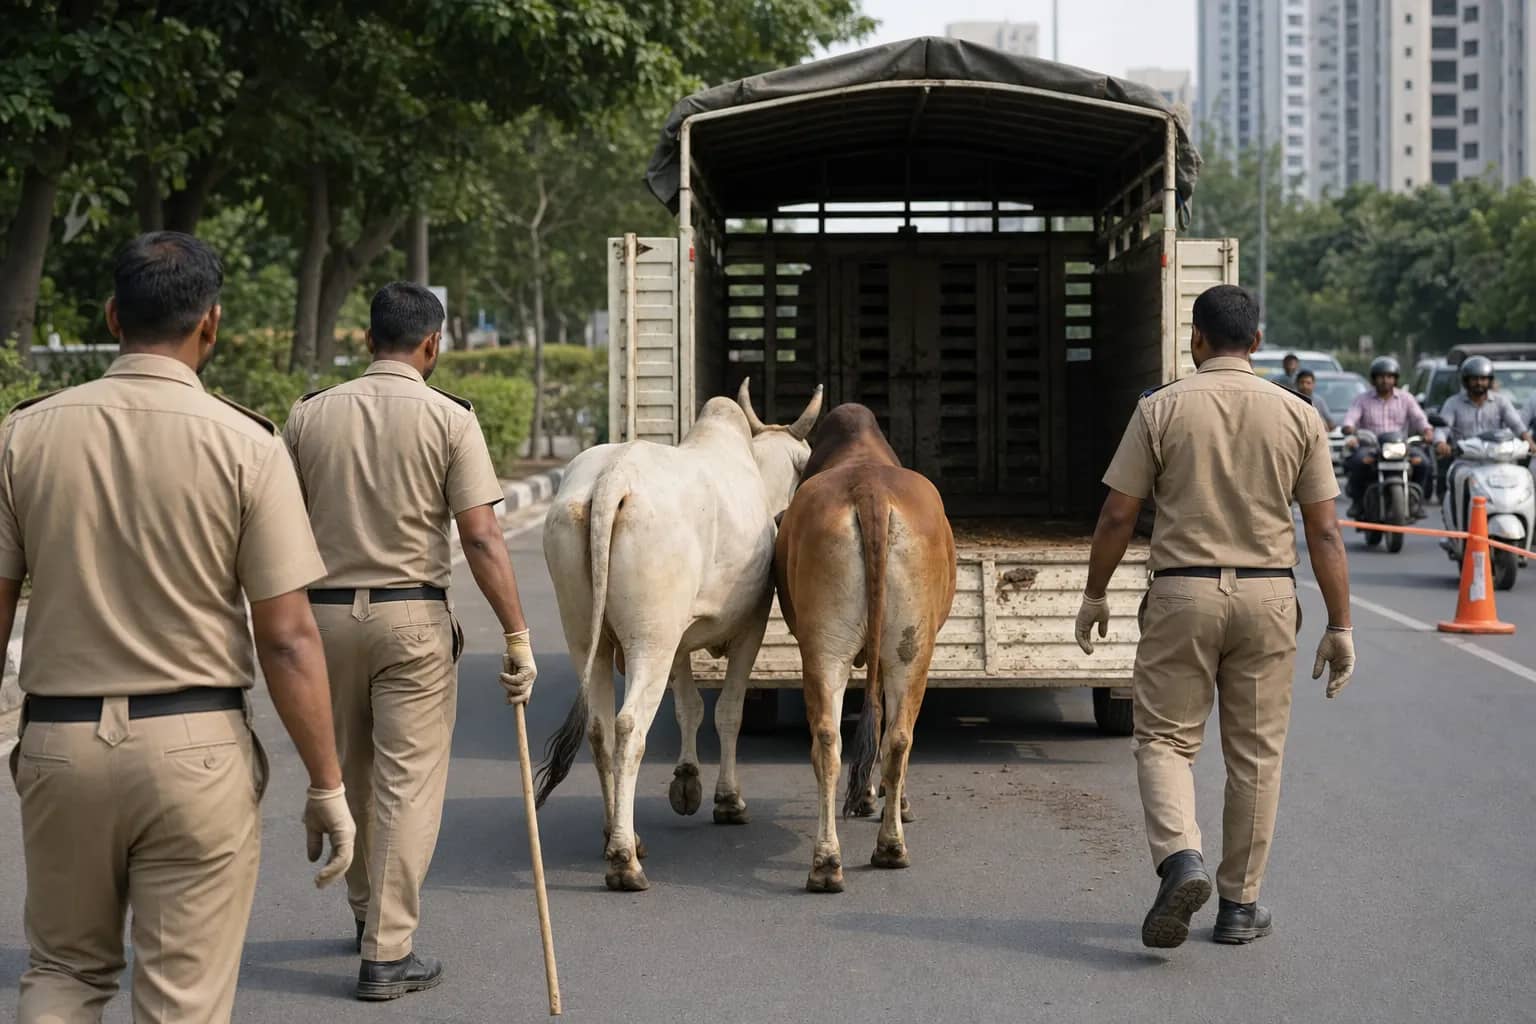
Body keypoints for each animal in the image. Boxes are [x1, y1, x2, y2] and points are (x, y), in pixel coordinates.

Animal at [535, 381, 822, 891]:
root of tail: (612, 480)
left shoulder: (680, 642)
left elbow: (689, 705)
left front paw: (687, 780)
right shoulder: (751, 625)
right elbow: (728, 712)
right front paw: (728, 800)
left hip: (589, 634)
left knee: (599, 727)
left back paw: (618, 833)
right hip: (651, 640)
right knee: (629, 727)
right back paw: (625, 861)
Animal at [774, 404, 956, 893]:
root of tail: (869, 491)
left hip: (833, 649)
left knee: (839, 739)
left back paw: (838, 859)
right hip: (906, 652)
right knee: (894, 735)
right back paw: (875, 847)